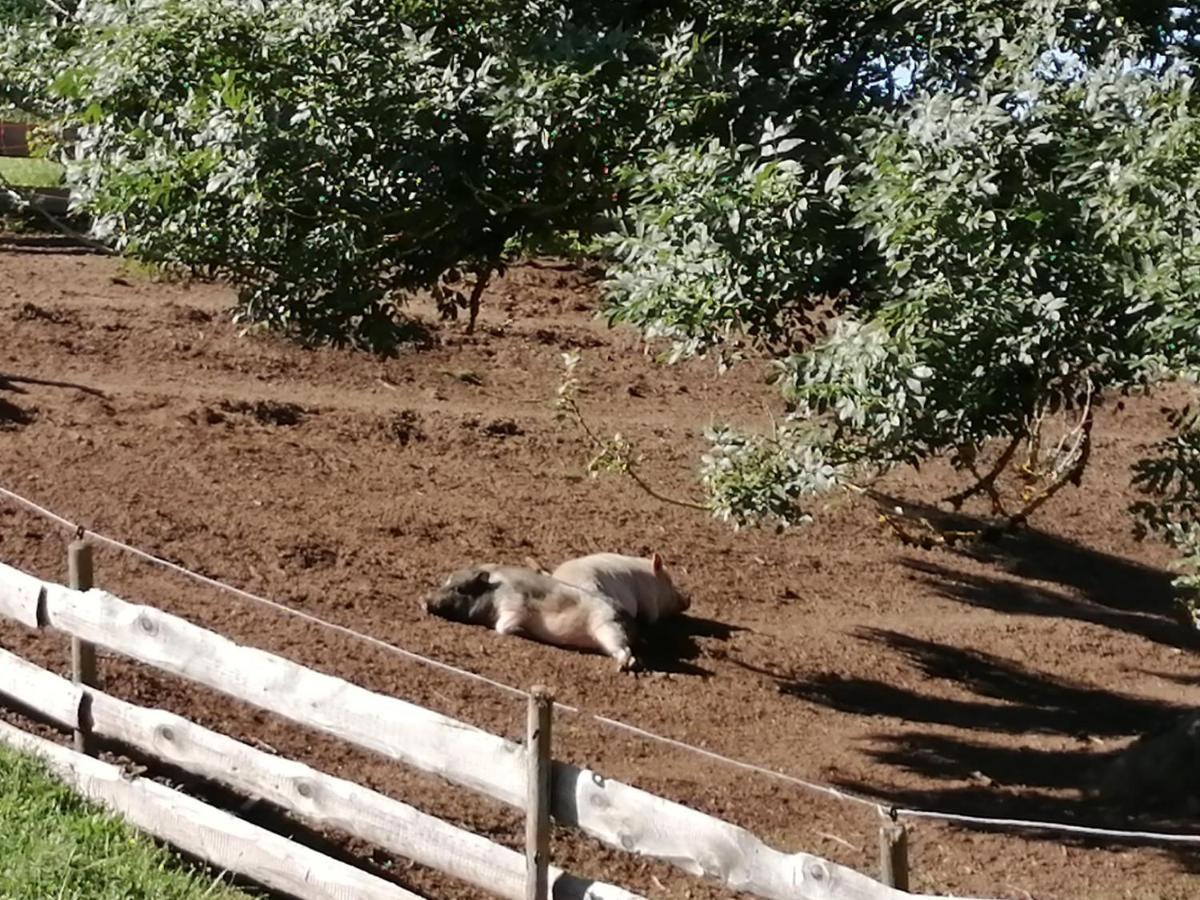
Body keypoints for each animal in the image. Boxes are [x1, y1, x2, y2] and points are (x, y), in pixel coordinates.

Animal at [424, 566, 648, 672]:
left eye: (460, 589)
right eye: (446, 582)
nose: (423, 600)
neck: (495, 593)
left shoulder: (516, 606)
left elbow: (502, 627)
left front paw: (522, 632)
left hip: (609, 629)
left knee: (626, 652)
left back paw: (620, 668)